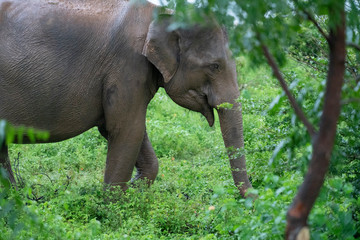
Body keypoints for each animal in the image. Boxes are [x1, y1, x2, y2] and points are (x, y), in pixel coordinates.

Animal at [0, 0, 253, 197]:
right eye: (215, 66)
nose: (254, 197)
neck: (166, 13)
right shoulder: (127, 66)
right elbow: (127, 130)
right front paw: (112, 210)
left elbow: (128, 130)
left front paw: (134, 192)